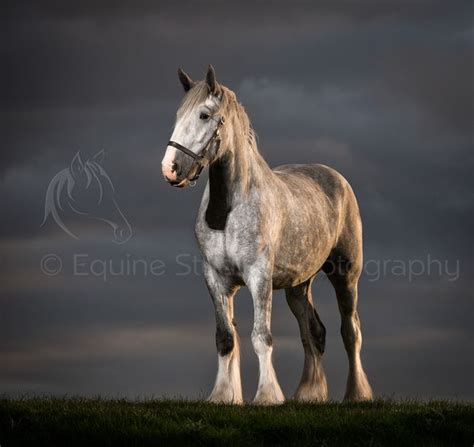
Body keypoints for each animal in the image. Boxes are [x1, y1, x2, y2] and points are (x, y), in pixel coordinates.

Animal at [161, 66, 372, 406]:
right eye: (179, 115)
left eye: (204, 115)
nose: (170, 168)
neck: (227, 210)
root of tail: (336, 178)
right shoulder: (215, 278)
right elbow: (226, 338)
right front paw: (224, 395)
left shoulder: (258, 276)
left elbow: (261, 336)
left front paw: (267, 396)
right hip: (298, 286)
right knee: (314, 331)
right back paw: (308, 393)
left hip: (346, 274)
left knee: (350, 331)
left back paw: (357, 394)